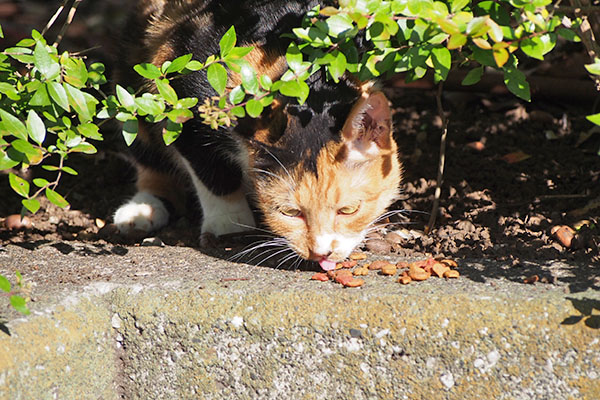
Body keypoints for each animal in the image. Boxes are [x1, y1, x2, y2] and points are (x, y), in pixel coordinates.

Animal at [112, 0, 404, 270]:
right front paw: (230, 224)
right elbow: (211, 169)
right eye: (290, 212)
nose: (321, 252)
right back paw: (142, 210)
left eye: (348, 210)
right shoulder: (184, 100)